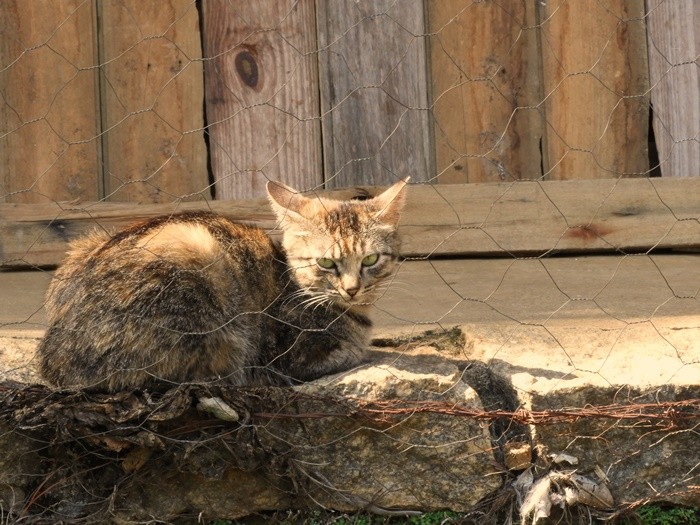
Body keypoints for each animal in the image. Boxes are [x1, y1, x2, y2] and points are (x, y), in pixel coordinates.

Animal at [37, 178, 410, 390]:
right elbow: (352, 351)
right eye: (326, 263)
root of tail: (54, 357)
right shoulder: (293, 357)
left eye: (370, 260)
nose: (352, 288)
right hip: (195, 259)